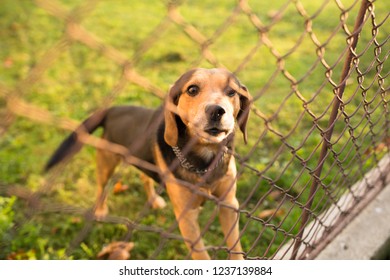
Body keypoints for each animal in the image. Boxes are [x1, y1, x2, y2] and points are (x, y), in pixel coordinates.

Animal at [45, 66, 253, 260]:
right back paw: (101, 210)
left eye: (231, 92)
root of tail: (113, 110)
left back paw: (153, 200)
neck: (204, 158)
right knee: (101, 187)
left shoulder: (229, 203)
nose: (216, 111)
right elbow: (201, 255)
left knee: (144, 178)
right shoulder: (187, 218)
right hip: (106, 163)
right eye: (192, 89)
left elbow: (235, 246)